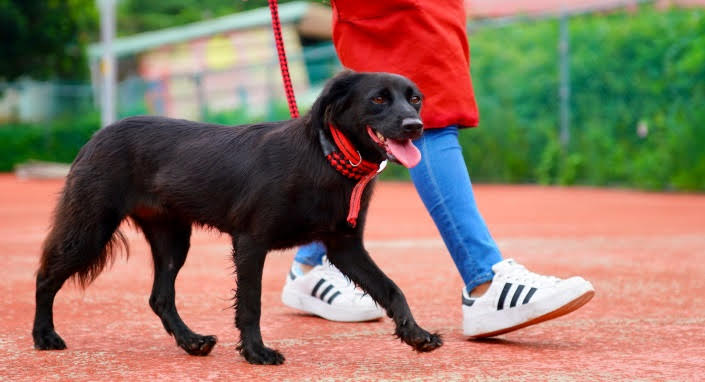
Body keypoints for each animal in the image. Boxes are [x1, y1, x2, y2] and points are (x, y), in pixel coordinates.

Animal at [34, 71, 440, 364]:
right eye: (378, 99)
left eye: (415, 98)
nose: (414, 126)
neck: (327, 159)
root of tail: (96, 135)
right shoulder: (250, 242)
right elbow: (251, 303)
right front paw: (256, 352)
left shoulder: (345, 246)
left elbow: (392, 288)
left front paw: (417, 334)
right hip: (91, 227)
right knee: (45, 277)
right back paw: (44, 336)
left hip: (172, 238)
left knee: (160, 297)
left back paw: (191, 342)